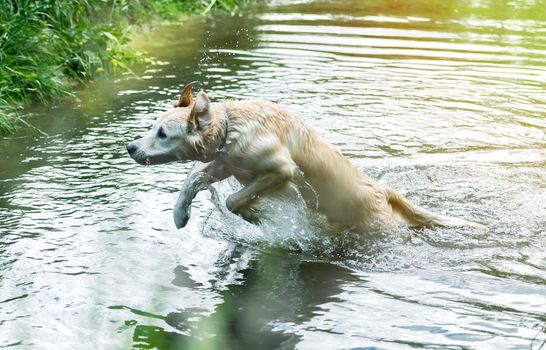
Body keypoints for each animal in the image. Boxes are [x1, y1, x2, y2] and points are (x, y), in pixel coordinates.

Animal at [127, 80, 484, 231]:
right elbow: (193, 177)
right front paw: (180, 213)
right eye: (152, 127)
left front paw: (252, 215)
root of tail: (383, 191)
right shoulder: (226, 163)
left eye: (163, 134)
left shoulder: (280, 170)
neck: (231, 127)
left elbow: (232, 200)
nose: (130, 147)